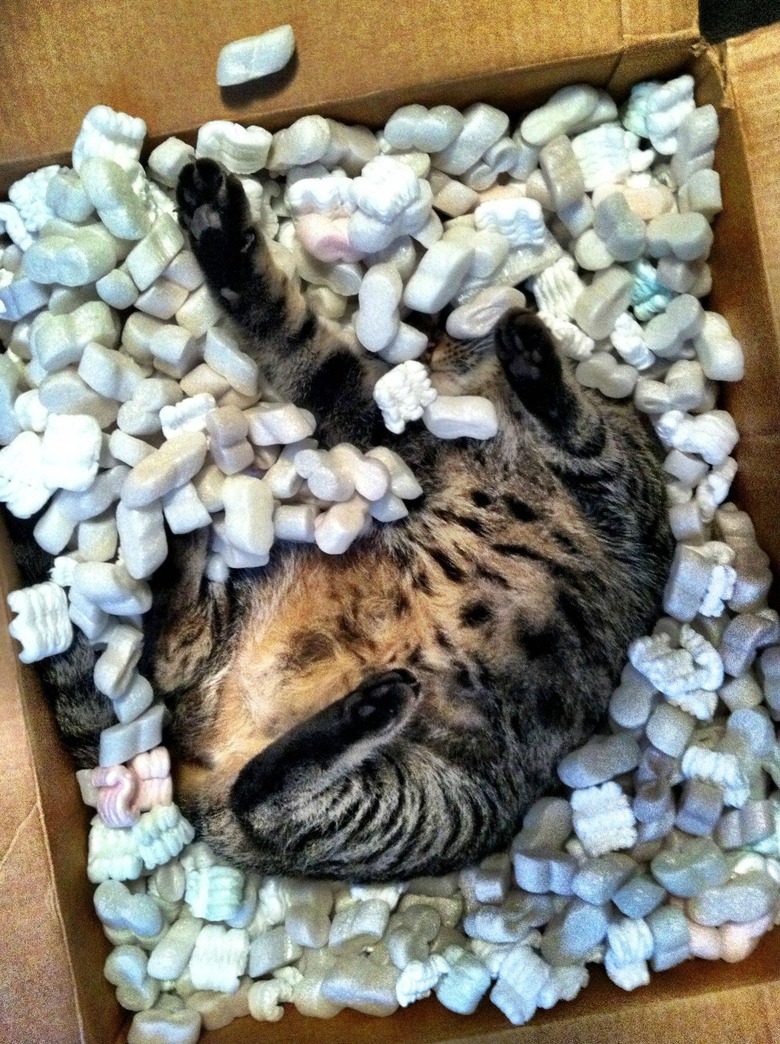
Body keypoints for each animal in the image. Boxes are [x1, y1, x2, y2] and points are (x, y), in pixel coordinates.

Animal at [9, 156, 672, 881]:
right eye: (433, 335)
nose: (437, 348)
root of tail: (196, 773)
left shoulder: (622, 496)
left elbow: (577, 429)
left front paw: (535, 359)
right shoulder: (382, 431)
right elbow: (286, 327)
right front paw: (220, 233)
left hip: (439, 803)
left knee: (249, 780)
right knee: (204, 714)